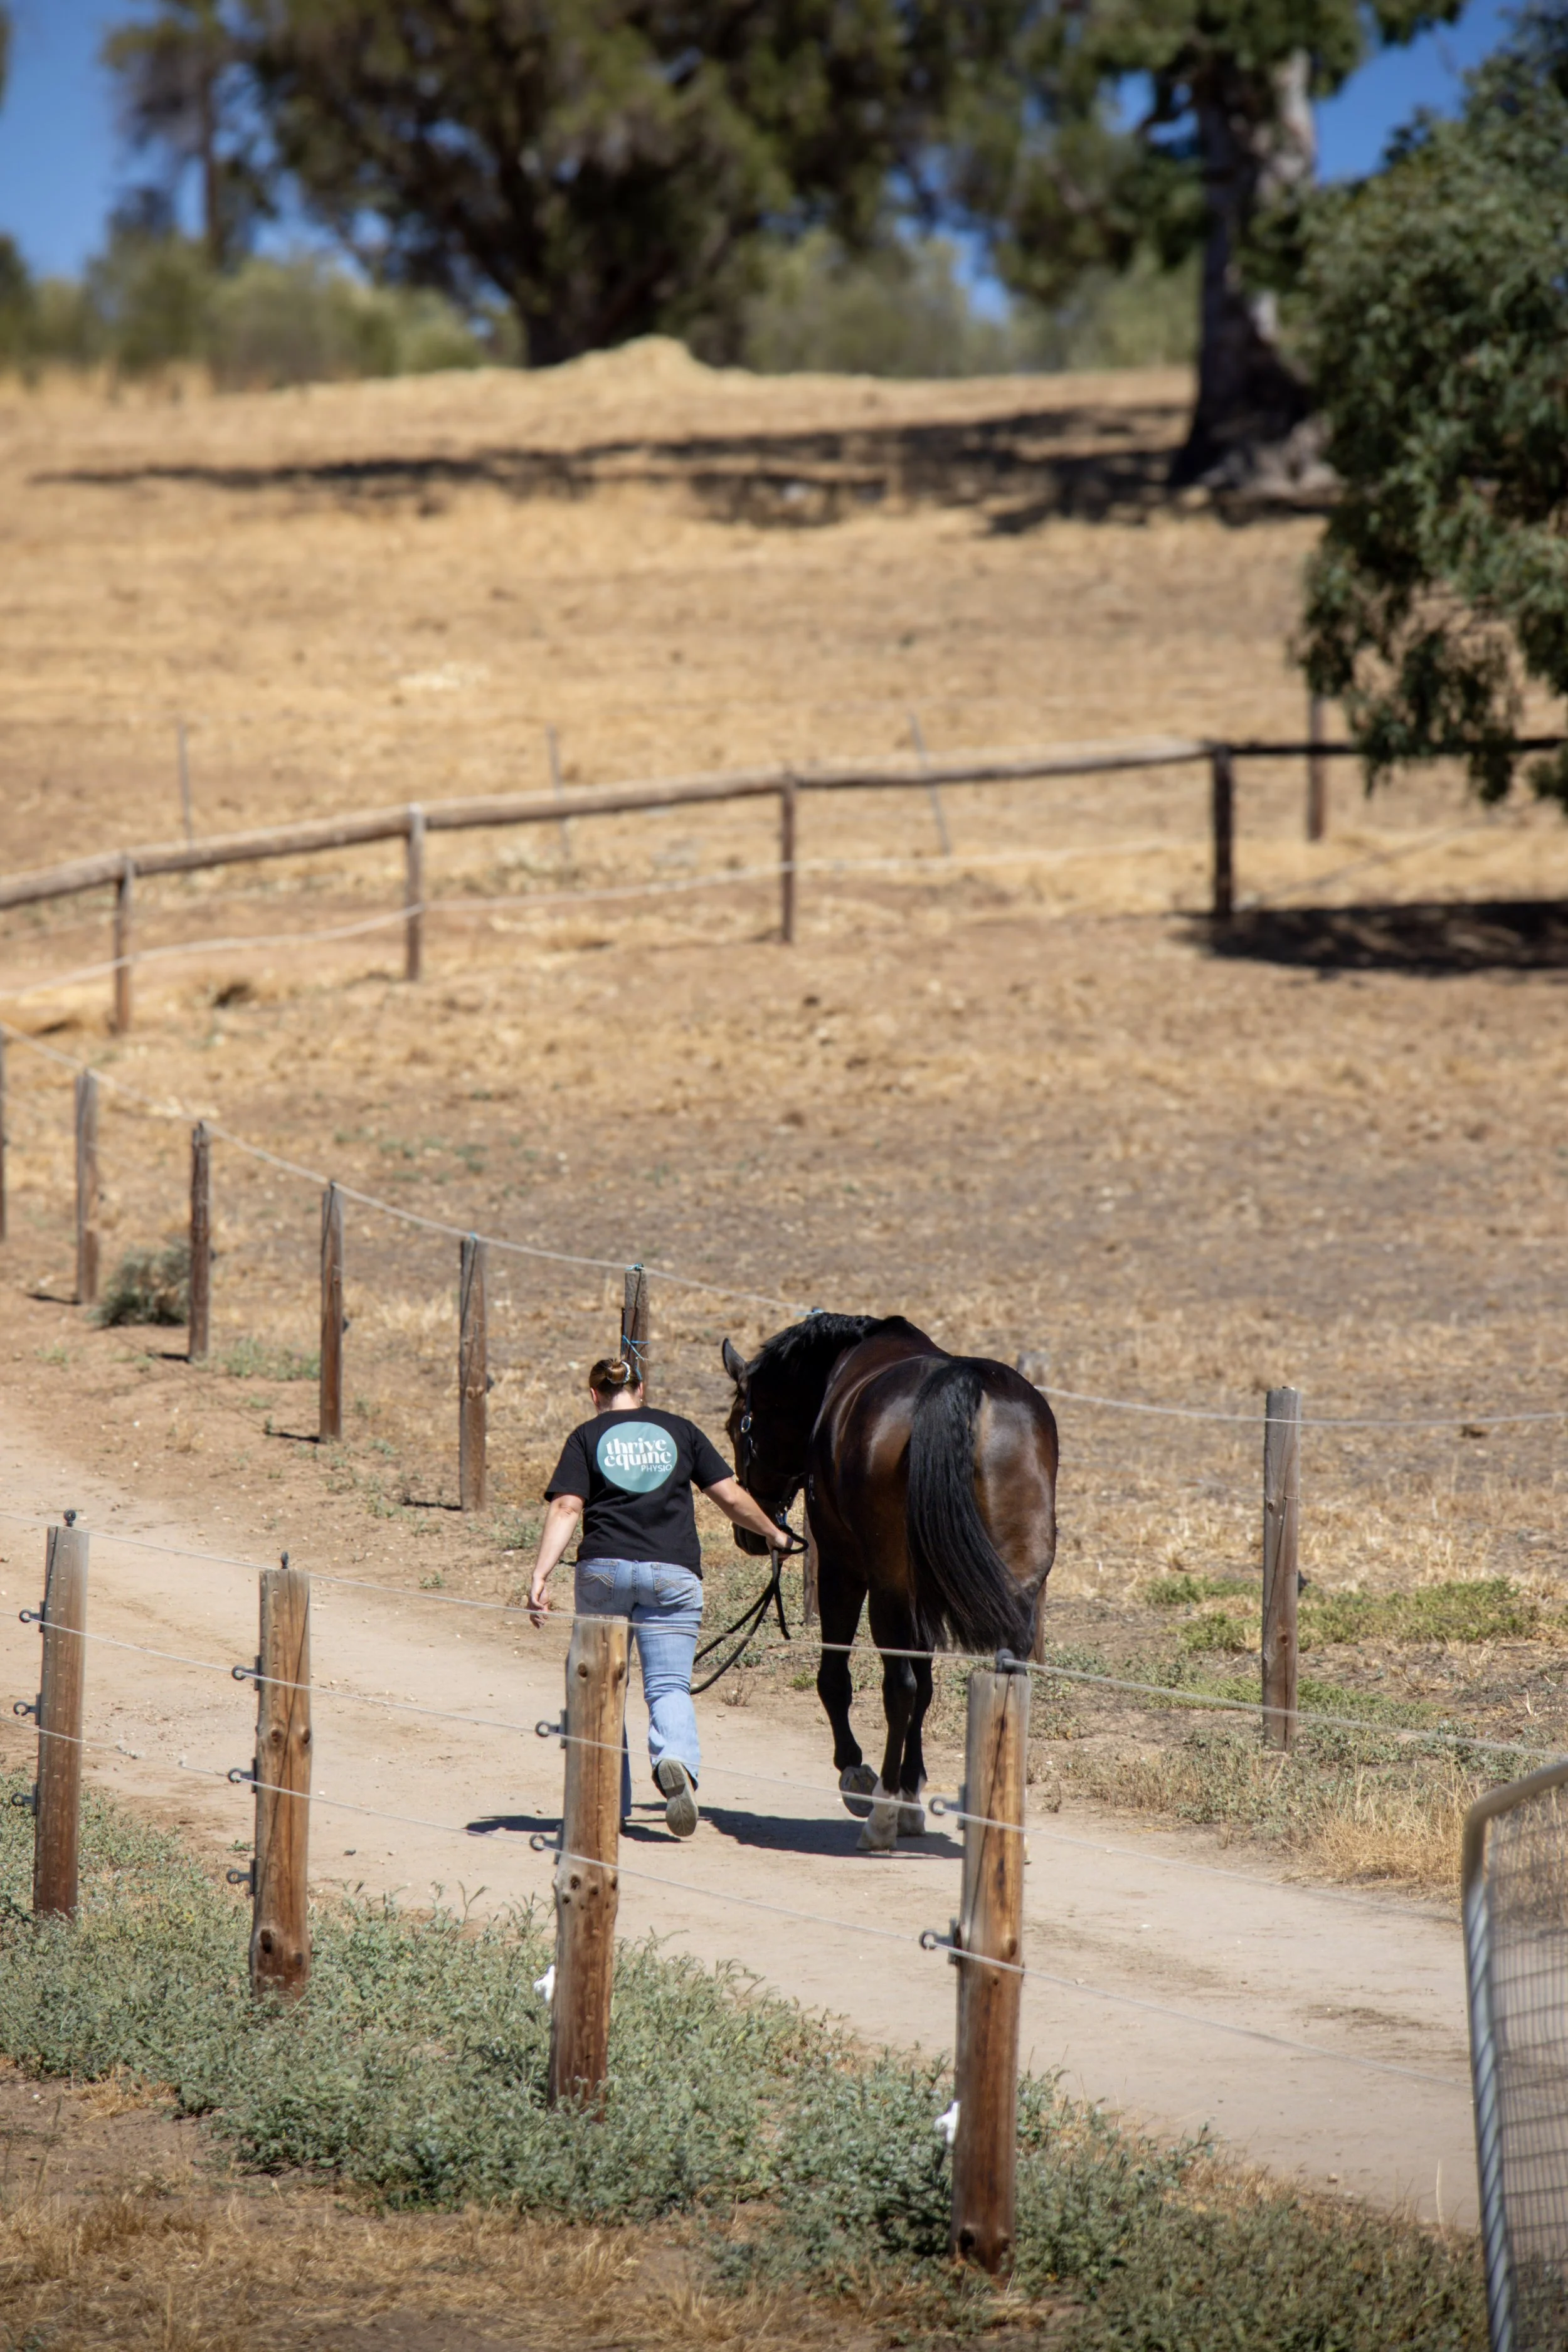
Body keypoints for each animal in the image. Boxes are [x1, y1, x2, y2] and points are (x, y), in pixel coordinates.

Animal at [720, 1313, 1058, 1853]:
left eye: (737, 1427)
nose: (749, 1533)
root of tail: (965, 1388)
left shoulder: (843, 1568)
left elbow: (838, 1679)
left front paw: (861, 1777)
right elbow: (926, 1686)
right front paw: (911, 1790)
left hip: (886, 1587)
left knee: (896, 1687)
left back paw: (880, 1813)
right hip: (1015, 1588)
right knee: (1005, 1685)